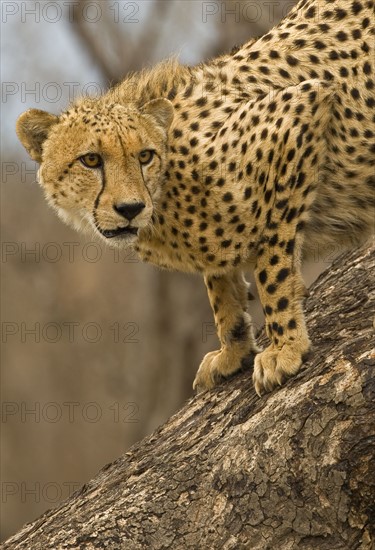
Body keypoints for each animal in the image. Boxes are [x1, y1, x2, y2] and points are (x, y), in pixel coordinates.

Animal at [16, 0, 374, 396]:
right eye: (91, 160)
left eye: (145, 156)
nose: (130, 209)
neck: (165, 189)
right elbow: (220, 285)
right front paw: (233, 350)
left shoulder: (298, 111)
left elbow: (272, 271)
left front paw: (284, 347)